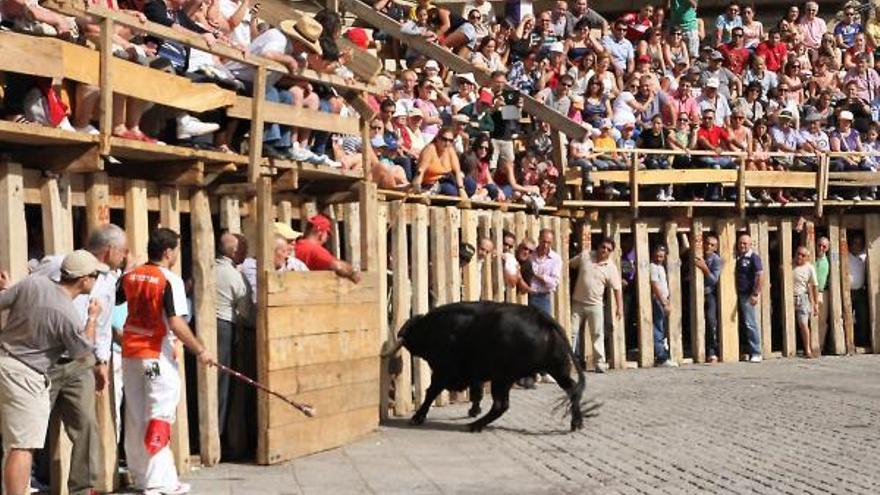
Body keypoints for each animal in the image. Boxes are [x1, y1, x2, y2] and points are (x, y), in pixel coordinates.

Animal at [384, 300, 584, 432]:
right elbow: (476, 392)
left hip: (502, 378)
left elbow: (431, 391)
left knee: (500, 405)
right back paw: (577, 423)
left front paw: (417, 417)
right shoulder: (475, 374)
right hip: (556, 370)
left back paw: (474, 426)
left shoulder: (443, 372)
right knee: (572, 388)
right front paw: (473, 410)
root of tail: (541, 318)